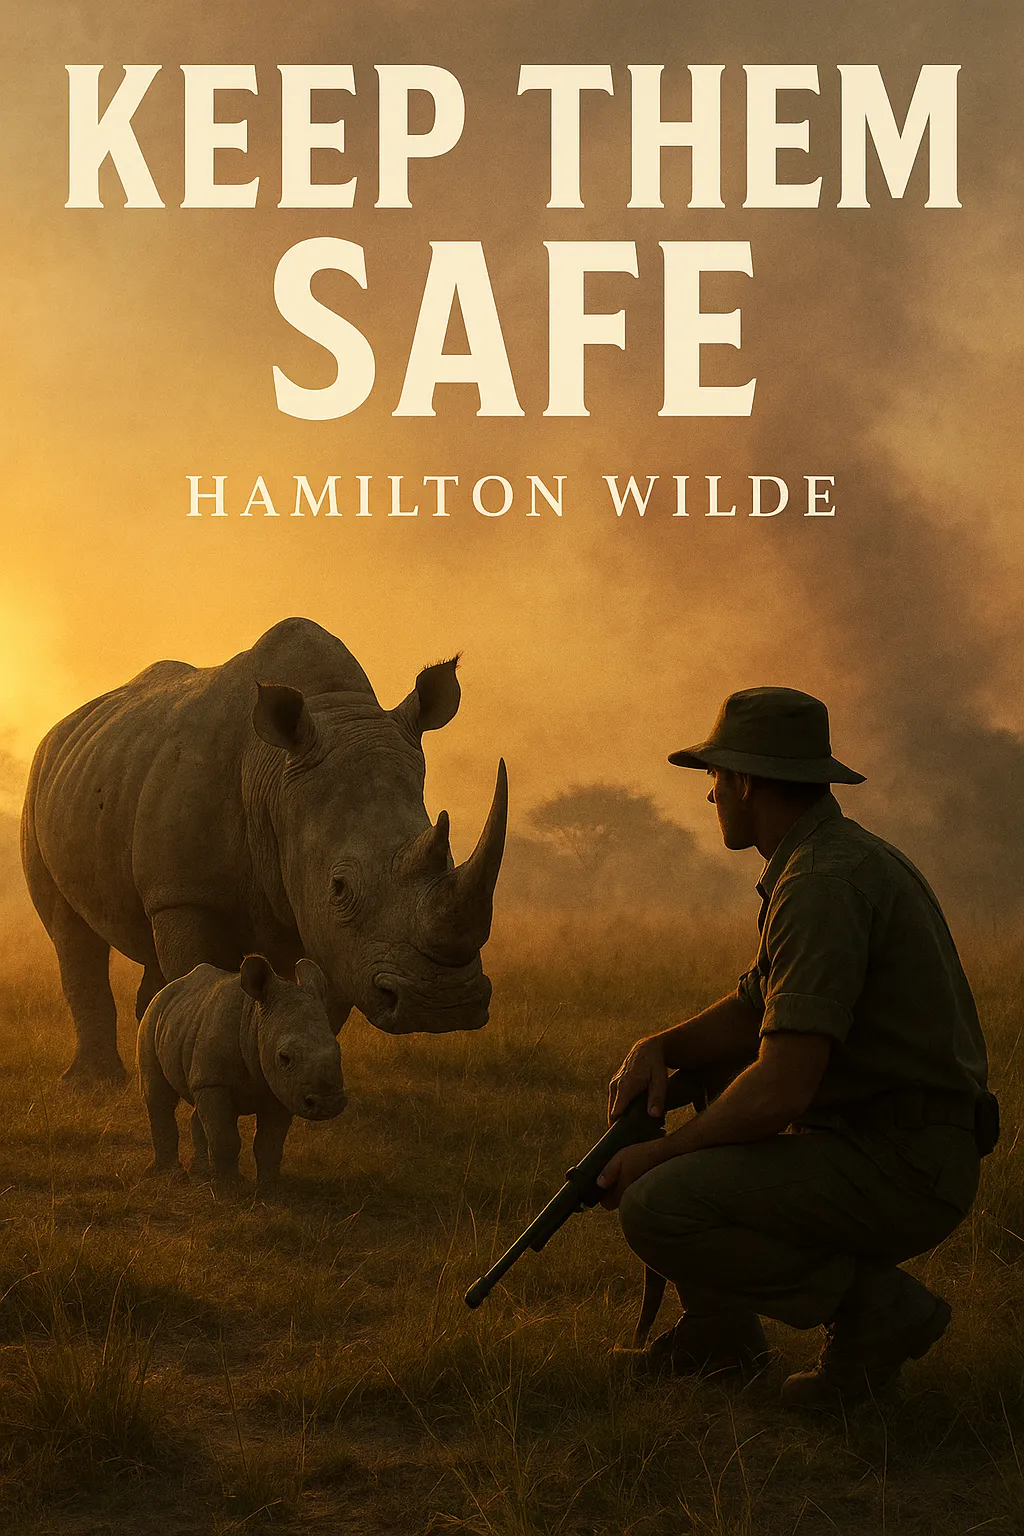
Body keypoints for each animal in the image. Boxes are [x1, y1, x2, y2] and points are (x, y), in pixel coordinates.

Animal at [22, 618, 507, 1084]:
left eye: (449, 860)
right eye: (339, 887)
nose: (441, 1004)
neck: (273, 777)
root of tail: (57, 732)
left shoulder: (327, 927)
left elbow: (320, 1008)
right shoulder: (185, 894)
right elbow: (197, 980)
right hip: (40, 784)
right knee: (71, 934)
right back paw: (92, 1083)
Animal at [138, 955, 345, 1192]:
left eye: (339, 1051)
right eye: (284, 1057)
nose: (329, 1104)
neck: (255, 1021)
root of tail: (166, 989)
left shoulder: (282, 1088)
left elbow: (270, 1142)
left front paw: (270, 1186)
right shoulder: (216, 1083)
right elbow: (225, 1137)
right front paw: (228, 1188)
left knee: (199, 1107)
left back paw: (200, 1174)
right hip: (152, 1017)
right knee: (160, 1097)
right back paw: (173, 1174)